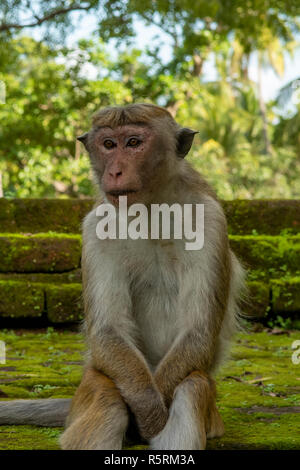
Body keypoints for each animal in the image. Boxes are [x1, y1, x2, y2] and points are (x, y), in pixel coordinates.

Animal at [0, 103, 245, 448]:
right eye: (108, 145)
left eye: (133, 143)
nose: (114, 171)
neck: (153, 209)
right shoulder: (94, 228)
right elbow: (109, 329)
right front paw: (148, 410)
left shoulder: (209, 220)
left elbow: (198, 333)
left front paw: (152, 418)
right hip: (91, 388)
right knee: (106, 395)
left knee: (192, 387)